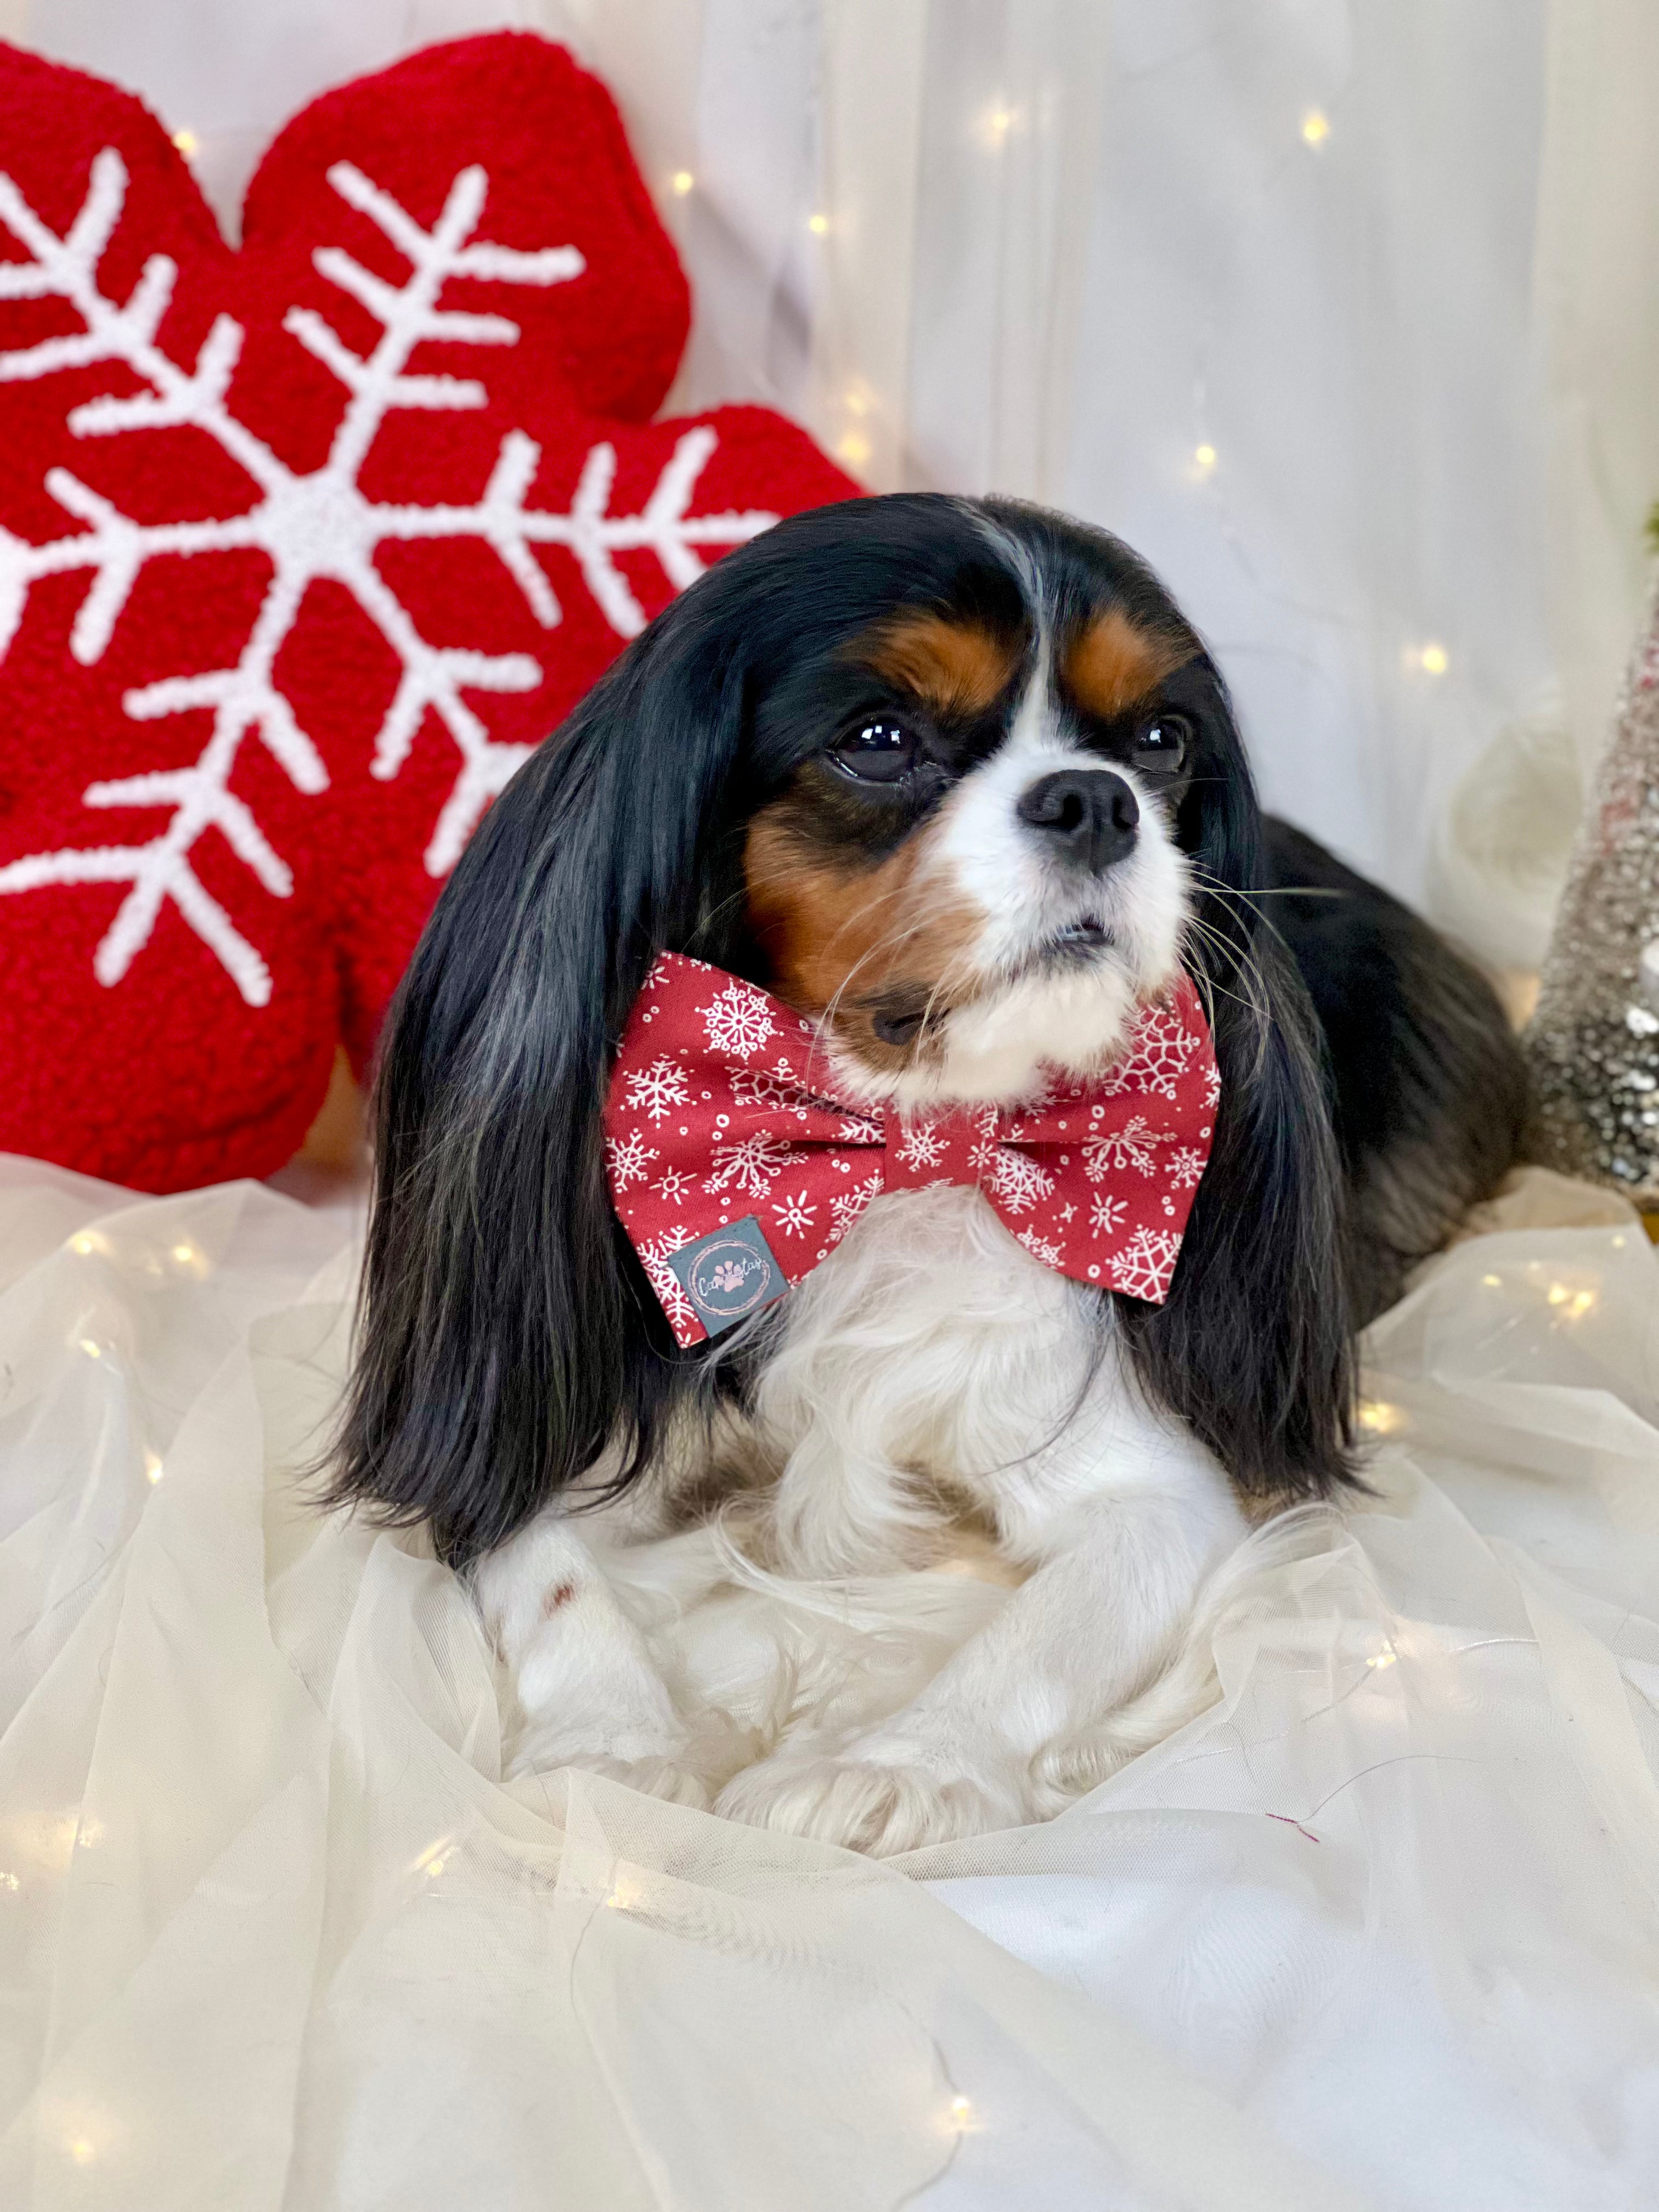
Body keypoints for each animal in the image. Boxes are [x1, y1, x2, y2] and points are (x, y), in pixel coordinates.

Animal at [327, 498, 1531, 1849]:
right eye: (879, 739)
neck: (904, 1146)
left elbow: (1047, 1630)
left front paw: (897, 1763)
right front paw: (615, 1745)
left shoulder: (1155, 1494)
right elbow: (552, 1570)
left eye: (1159, 741)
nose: (1096, 799)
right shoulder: (531, 1407)